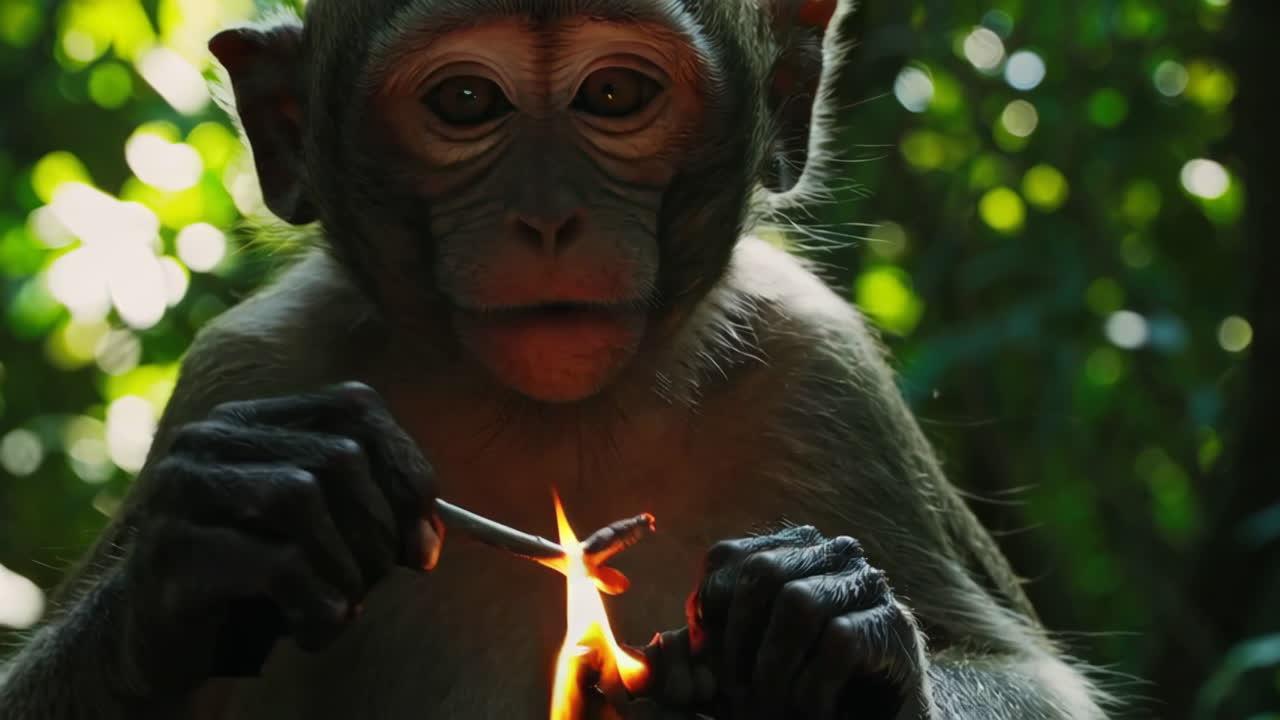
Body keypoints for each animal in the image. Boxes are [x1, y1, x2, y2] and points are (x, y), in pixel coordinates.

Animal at [0, 0, 1113, 718]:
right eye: (464, 100)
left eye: (613, 92)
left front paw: (833, 632)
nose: (547, 217)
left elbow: (1029, 682)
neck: (553, 414)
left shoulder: (826, 377)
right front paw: (230, 525)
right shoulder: (242, 370)